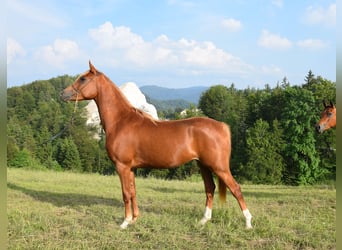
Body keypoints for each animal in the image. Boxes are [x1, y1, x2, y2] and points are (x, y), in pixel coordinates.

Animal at [60, 62, 251, 229]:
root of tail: (222, 125)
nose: (62, 94)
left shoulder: (122, 166)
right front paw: (134, 219)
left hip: (219, 167)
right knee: (210, 188)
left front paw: (124, 222)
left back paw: (248, 223)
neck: (121, 121)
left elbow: (125, 193)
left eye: (83, 79)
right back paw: (203, 221)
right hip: (203, 165)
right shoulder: (131, 168)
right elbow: (133, 192)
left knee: (236, 189)